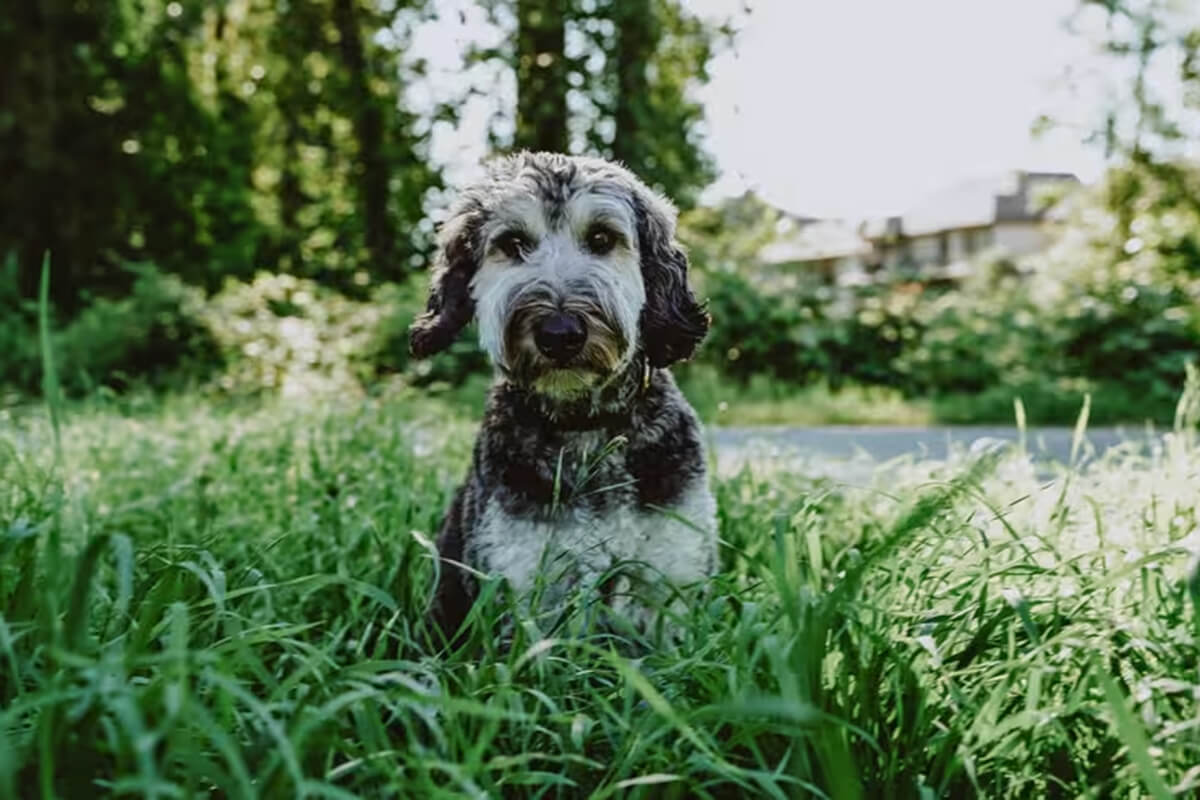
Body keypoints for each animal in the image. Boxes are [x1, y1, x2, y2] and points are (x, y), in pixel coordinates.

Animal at [408, 151, 715, 642]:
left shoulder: (668, 578)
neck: (587, 430)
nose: (560, 334)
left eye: (601, 238)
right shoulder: (528, 586)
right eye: (513, 243)